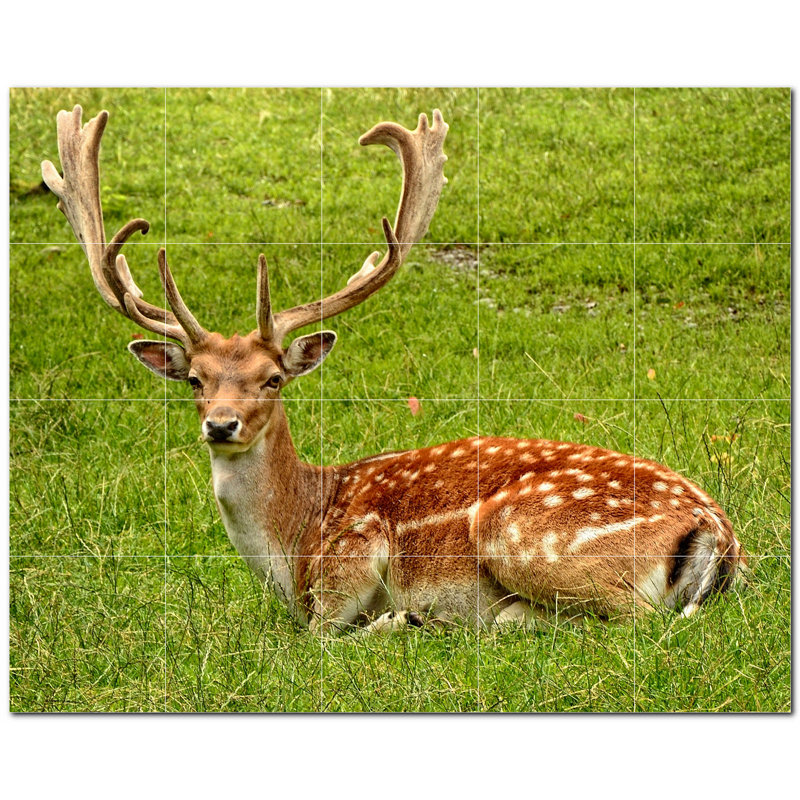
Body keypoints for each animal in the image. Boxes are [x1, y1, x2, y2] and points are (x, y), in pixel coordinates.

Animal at [42, 104, 745, 635]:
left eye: (274, 378)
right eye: (195, 379)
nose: (221, 424)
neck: (293, 542)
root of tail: (717, 531)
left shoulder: (353, 554)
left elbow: (322, 632)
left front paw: (395, 619)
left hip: (519, 532)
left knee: (634, 618)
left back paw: (471, 619)